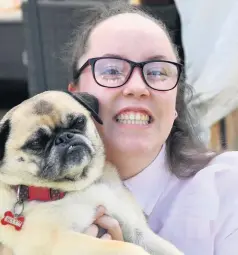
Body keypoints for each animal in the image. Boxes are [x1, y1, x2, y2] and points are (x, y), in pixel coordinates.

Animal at [0, 90, 182, 255]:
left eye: (79, 122)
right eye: (36, 143)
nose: (64, 137)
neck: (79, 187)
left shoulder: (135, 227)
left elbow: (167, 248)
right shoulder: (60, 242)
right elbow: (123, 248)